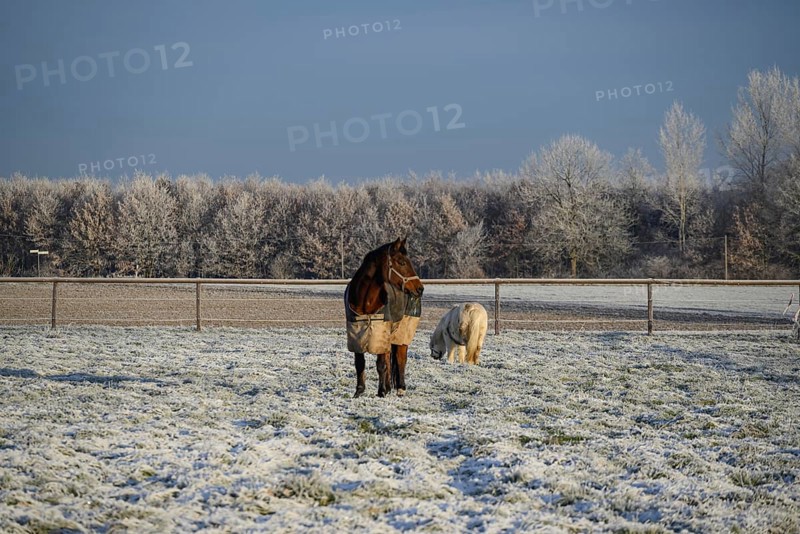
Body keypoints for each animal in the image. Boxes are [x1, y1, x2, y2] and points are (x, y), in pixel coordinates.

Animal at [344, 238, 424, 398]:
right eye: (401, 262)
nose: (420, 288)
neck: (365, 302)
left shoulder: (379, 332)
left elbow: (381, 364)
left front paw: (381, 392)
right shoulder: (356, 334)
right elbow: (360, 363)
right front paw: (359, 392)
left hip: (402, 333)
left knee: (401, 358)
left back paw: (400, 388)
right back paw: (388, 387)